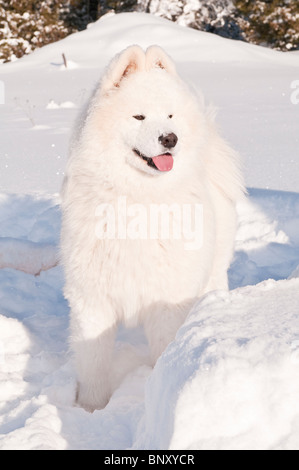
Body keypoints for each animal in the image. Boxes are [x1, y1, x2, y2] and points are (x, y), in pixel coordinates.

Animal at [61, 45, 246, 412]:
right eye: (139, 117)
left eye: (170, 116)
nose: (170, 138)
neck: (139, 198)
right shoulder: (93, 300)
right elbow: (92, 364)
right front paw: (91, 410)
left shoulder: (168, 302)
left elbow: (165, 351)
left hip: (213, 273)